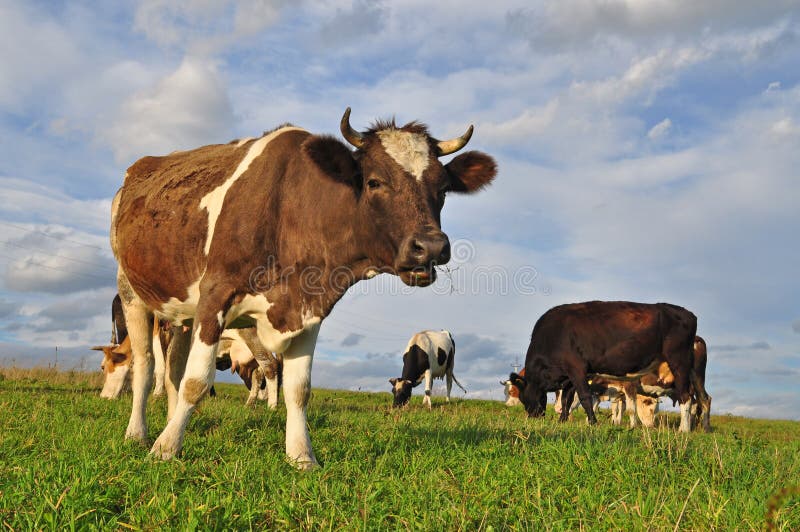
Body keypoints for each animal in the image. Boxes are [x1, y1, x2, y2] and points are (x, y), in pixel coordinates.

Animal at [109, 109, 496, 470]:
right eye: (374, 182)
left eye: (442, 189)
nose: (430, 247)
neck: (288, 211)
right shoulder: (215, 295)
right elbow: (197, 381)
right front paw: (166, 448)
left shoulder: (309, 310)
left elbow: (299, 390)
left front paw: (301, 457)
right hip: (131, 291)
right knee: (145, 364)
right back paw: (138, 433)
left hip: (180, 311)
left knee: (172, 367)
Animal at [510, 300, 708, 432]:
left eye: (522, 398)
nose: (533, 417)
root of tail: (688, 314)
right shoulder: (569, 375)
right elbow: (567, 399)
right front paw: (562, 420)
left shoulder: (576, 368)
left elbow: (584, 397)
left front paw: (593, 423)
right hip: (694, 373)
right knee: (704, 399)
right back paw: (703, 428)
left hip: (679, 362)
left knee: (686, 397)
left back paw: (684, 430)